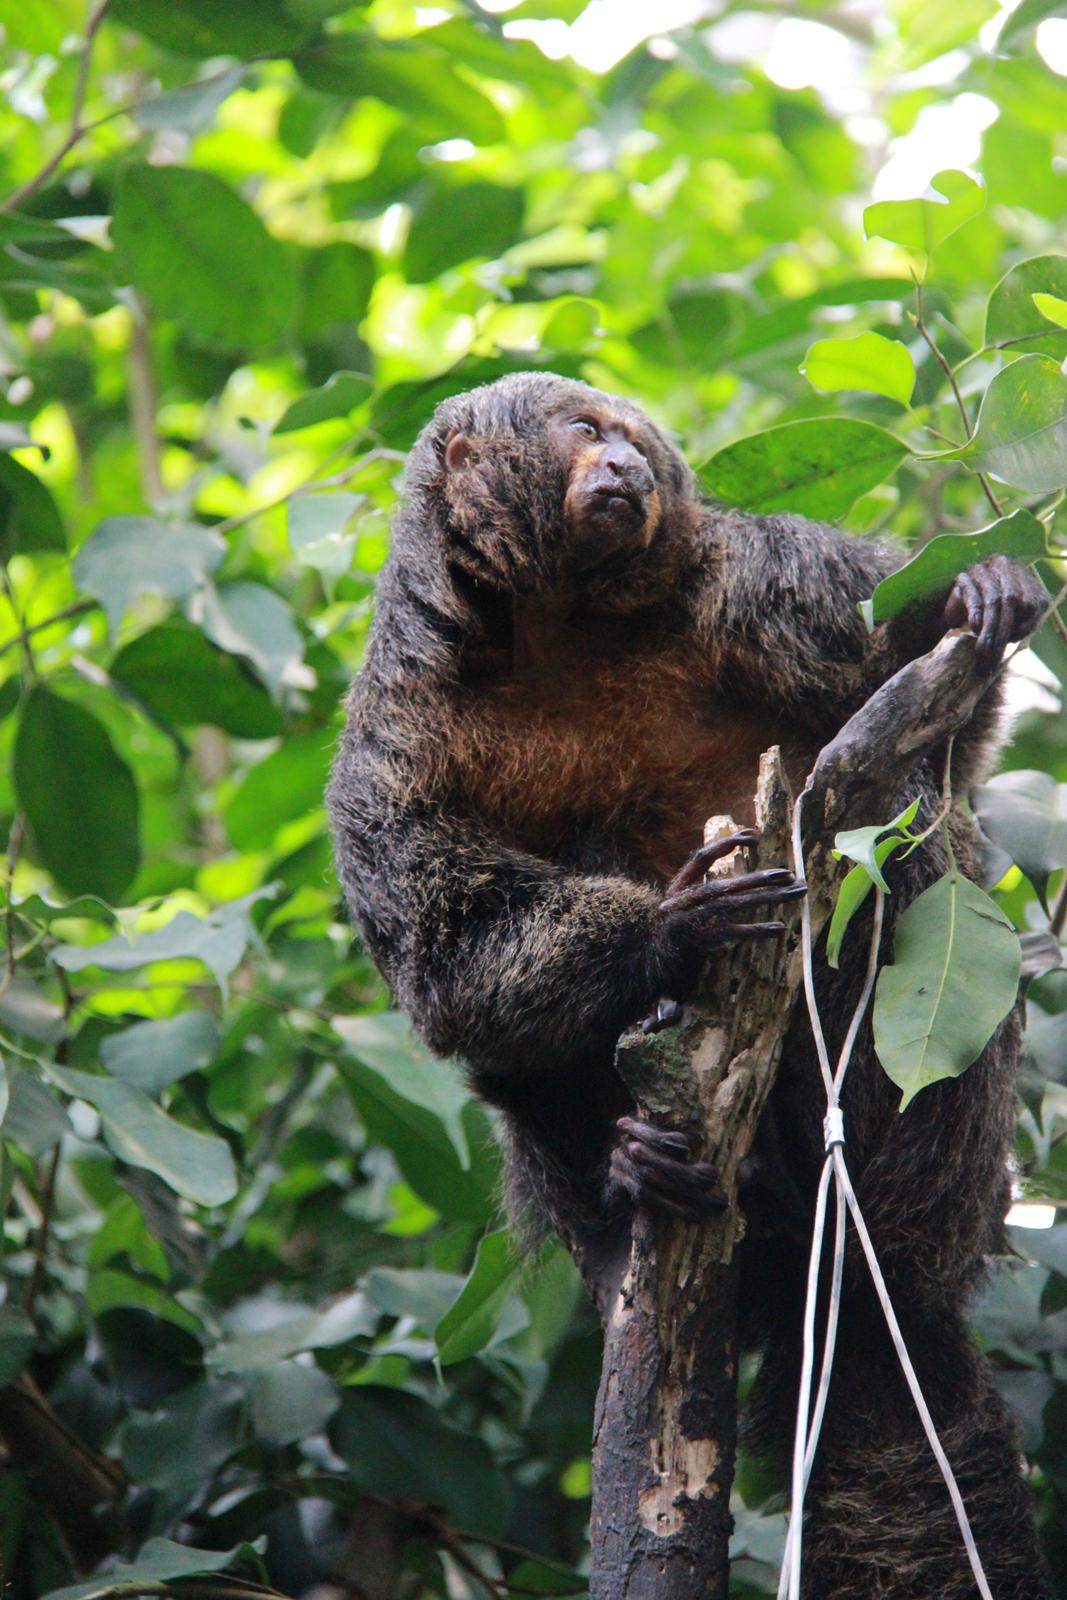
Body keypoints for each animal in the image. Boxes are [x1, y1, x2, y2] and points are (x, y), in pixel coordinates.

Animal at [327, 371, 1049, 1587]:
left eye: (626, 436)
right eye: (582, 432)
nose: (621, 463)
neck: (567, 631)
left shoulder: (756, 584)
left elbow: (941, 745)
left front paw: (974, 591)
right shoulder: (400, 716)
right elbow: (446, 948)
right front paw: (670, 932)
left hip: (942, 1168)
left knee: (893, 840)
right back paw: (645, 1167)